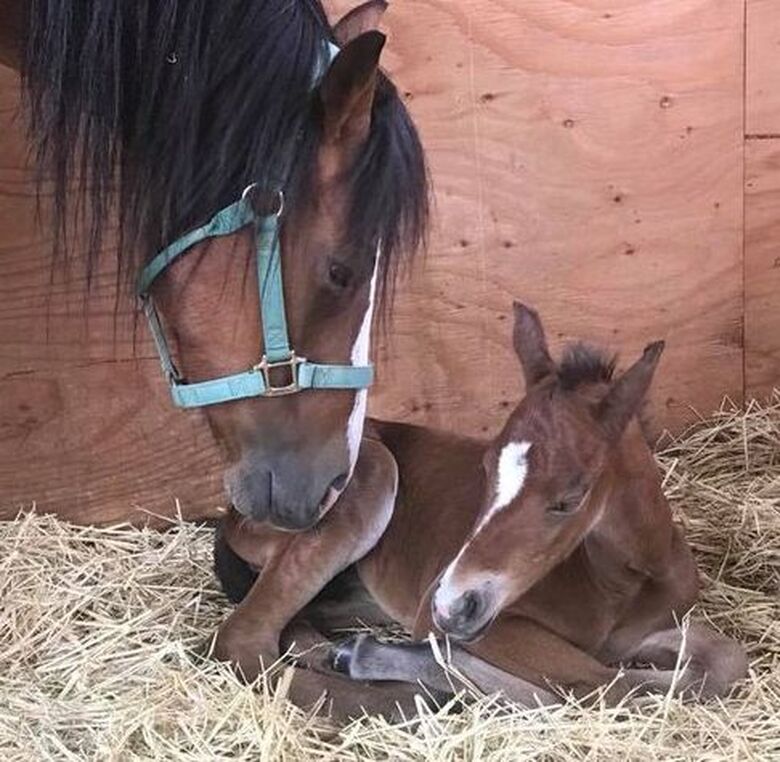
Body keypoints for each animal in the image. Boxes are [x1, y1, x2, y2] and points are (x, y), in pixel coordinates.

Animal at [216, 302, 748, 712]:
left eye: (569, 499)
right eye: (487, 466)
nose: (453, 604)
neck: (620, 583)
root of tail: (239, 502)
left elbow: (724, 662)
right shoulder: (482, 623)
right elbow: (595, 685)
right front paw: (377, 659)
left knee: (296, 625)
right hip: (371, 477)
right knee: (242, 637)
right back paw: (392, 698)